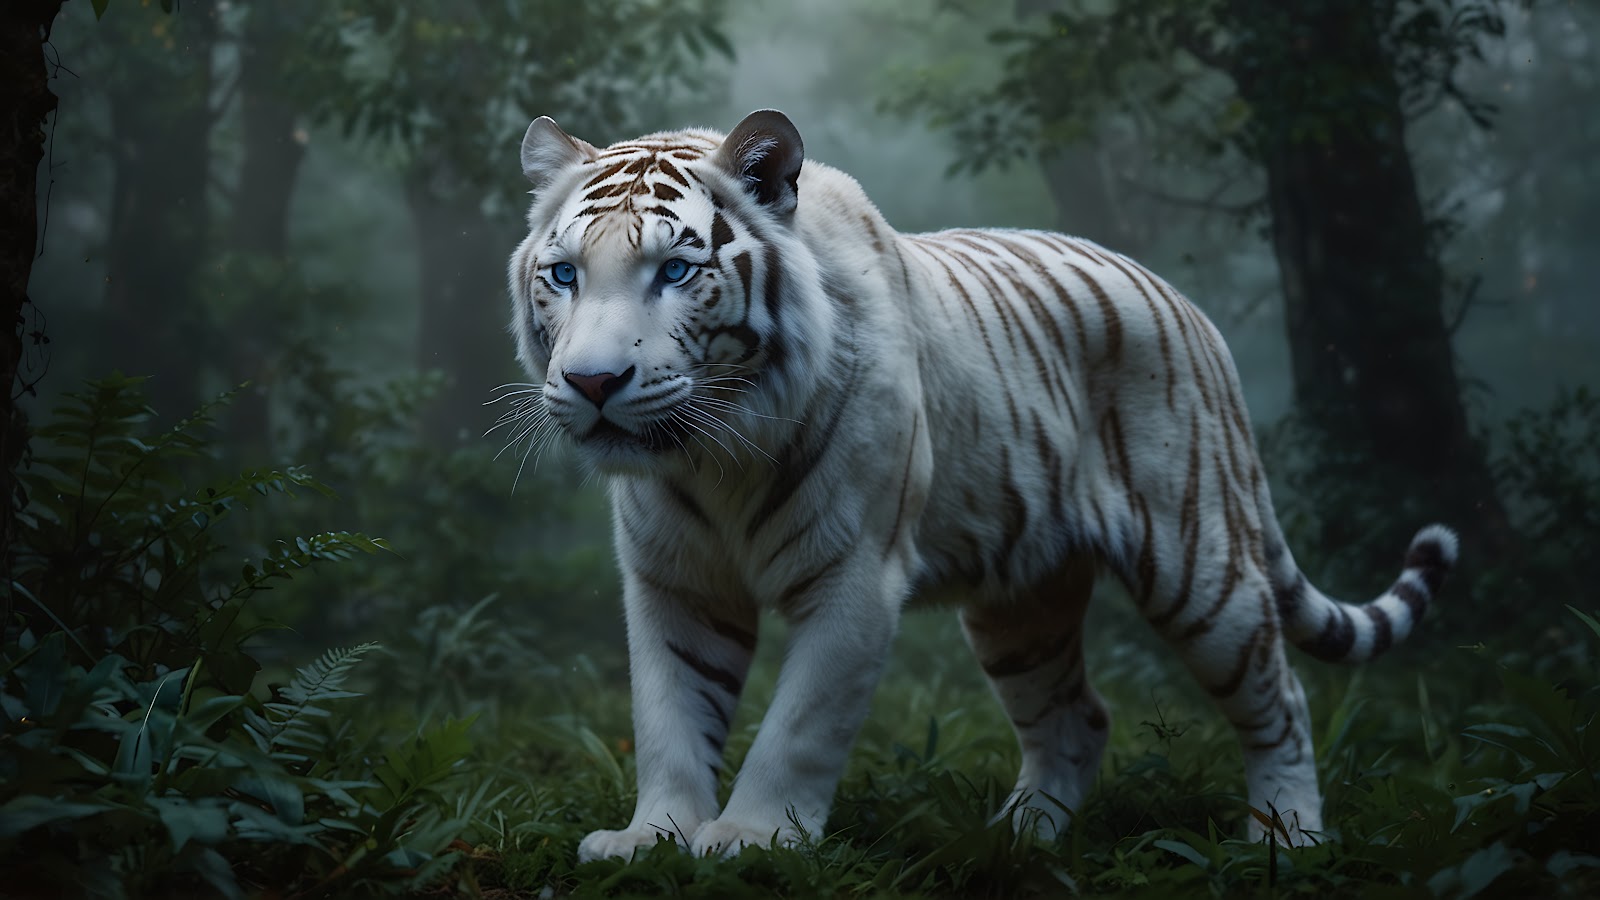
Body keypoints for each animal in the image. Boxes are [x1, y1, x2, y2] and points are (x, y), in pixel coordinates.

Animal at [504, 108, 1458, 861]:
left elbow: (798, 726)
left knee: (1281, 699)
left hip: (1202, 567)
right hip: (1021, 603)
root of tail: (1187, 307)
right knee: (1077, 718)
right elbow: (670, 716)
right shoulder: (676, 580)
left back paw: (1287, 839)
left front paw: (751, 840)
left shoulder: (856, 574)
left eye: (674, 271)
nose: (592, 383)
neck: (715, 452)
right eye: (565, 274)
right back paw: (1017, 839)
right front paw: (652, 839)